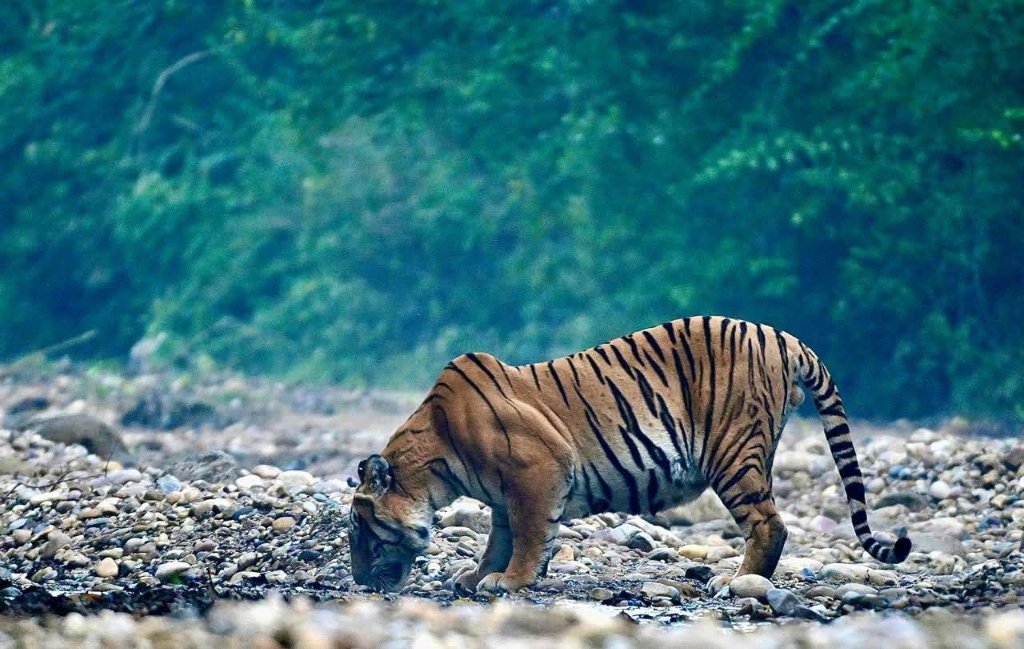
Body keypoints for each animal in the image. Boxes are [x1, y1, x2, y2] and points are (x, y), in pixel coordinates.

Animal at [348, 316, 911, 594]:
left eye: (360, 530)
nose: (354, 579)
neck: (436, 466)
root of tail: (786, 337)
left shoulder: (537, 470)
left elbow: (528, 537)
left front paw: (510, 581)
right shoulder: (507, 493)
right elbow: (499, 538)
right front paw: (475, 576)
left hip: (733, 452)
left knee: (769, 523)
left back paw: (736, 582)